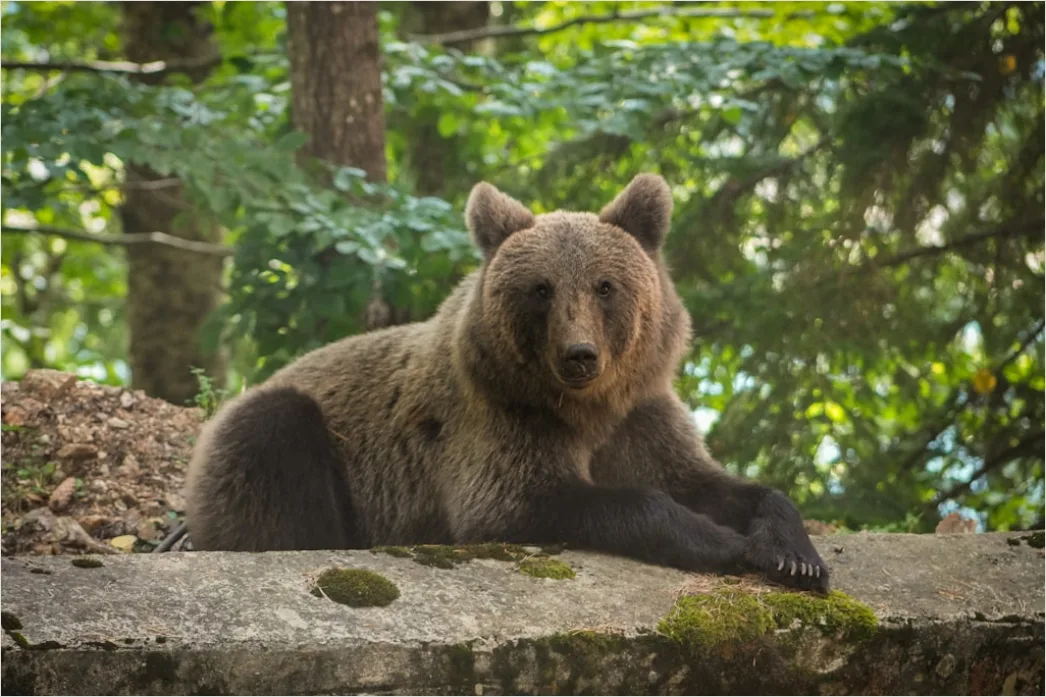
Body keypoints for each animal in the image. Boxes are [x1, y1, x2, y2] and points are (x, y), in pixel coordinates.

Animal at [185, 174, 828, 591]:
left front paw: (794, 554)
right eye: (541, 288)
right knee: (273, 437)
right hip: (286, 449)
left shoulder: (641, 418)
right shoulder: (498, 421)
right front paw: (726, 543)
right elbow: (532, 499)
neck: (587, 408)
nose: (579, 355)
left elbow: (705, 481)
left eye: (605, 285)